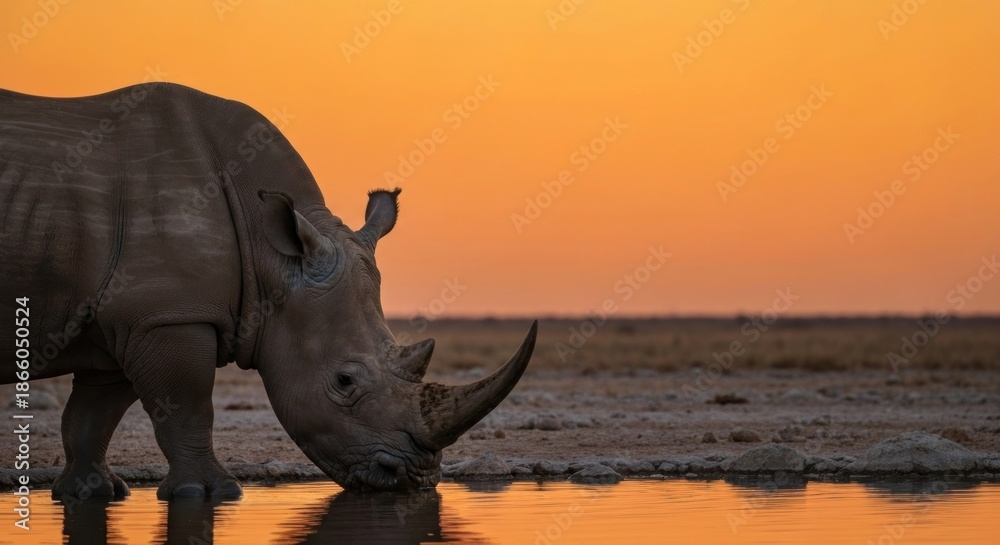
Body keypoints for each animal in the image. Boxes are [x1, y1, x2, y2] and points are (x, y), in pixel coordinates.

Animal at [0, 82, 536, 500]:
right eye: (345, 381)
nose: (413, 479)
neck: (272, 257)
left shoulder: (130, 314)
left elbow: (94, 412)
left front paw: (92, 493)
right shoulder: (169, 314)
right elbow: (187, 405)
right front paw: (211, 494)